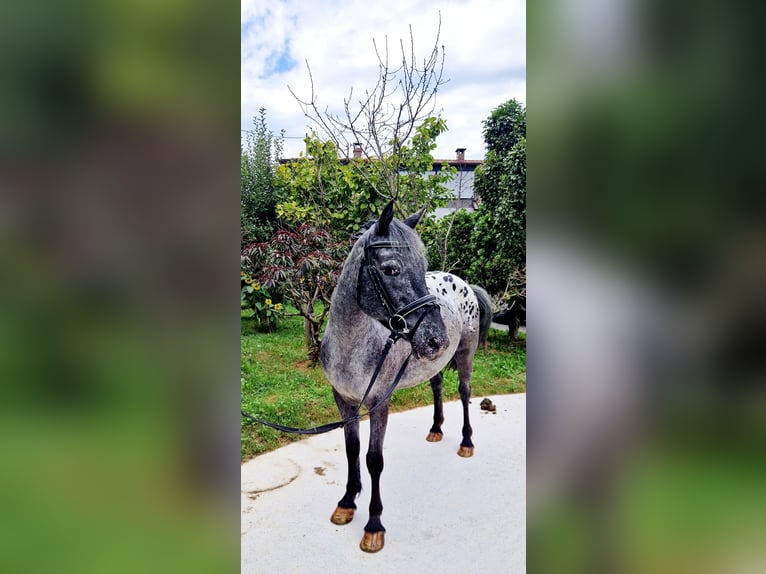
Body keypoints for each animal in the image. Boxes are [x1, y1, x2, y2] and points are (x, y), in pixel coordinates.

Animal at [320, 202, 492, 552]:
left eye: (421, 266)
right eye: (391, 269)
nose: (436, 339)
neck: (352, 345)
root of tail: (465, 283)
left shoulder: (378, 403)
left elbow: (374, 459)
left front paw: (373, 525)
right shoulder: (344, 401)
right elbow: (351, 449)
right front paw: (347, 502)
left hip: (465, 355)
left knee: (464, 393)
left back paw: (466, 442)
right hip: (433, 364)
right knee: (438, 386)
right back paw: (436, 429)